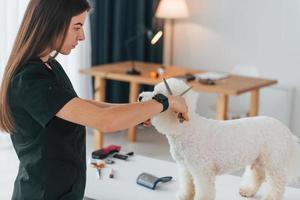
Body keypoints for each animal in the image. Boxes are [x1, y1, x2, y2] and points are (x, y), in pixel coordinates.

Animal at [138, 78, 300, 200]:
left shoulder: (202, 170)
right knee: (258, 175)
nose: (139, 97)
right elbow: (188, 185)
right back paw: (248, 190)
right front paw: (185, 196)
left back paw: (271, 197)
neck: (186, 130)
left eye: (157, 96)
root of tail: (286, 131)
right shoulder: (186, 168)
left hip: (274, 161)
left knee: (278, 182)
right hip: (259, 159)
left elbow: (204, 191)